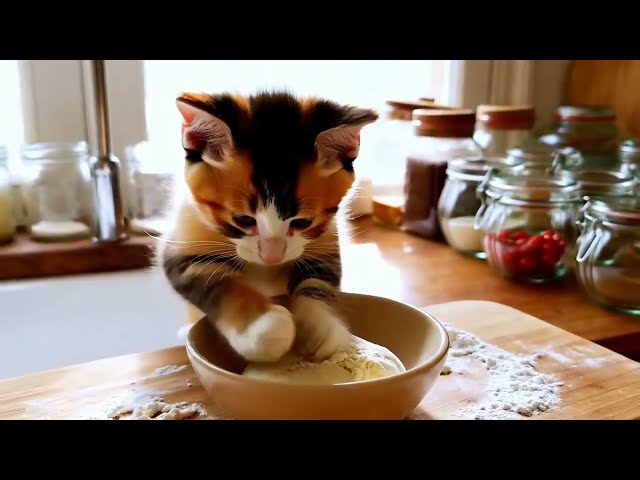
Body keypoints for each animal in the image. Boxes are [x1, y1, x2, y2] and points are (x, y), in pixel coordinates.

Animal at [162, 89, 378, 364]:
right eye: (243, 220)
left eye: (302, 222)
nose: (271, 256)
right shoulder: (186, 242)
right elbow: (220, 283)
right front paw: (264, 328)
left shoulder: (325, 242)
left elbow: (318, 282)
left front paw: (320, 326)